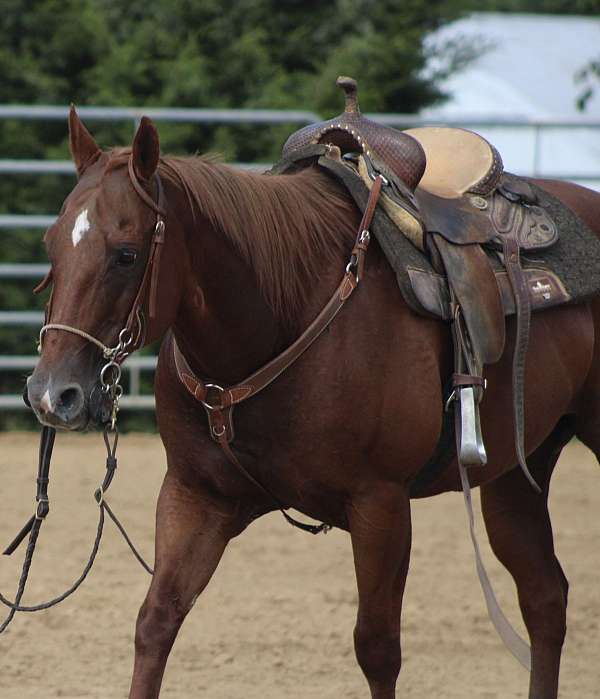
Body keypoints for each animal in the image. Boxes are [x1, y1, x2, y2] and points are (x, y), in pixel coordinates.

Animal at [25, 108, 600, 699]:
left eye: (127, 254)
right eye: (51, 247)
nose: (52, 393)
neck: (282, 318)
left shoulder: (381, 506)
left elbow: (377, 649)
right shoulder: (195, 495)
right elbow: (156, 621)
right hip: (515, 474)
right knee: (544, 598)